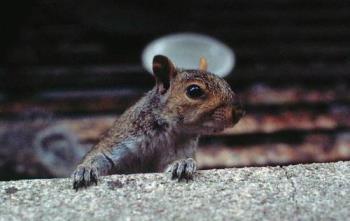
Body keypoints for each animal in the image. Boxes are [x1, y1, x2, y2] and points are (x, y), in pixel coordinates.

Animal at [72, 54, 245, 190]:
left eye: (226, 83)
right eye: (194, 91)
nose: (239, 112)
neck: (168, 132)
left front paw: (183, 163)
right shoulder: (120, 141)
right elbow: (101, 156)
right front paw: (86, 169)